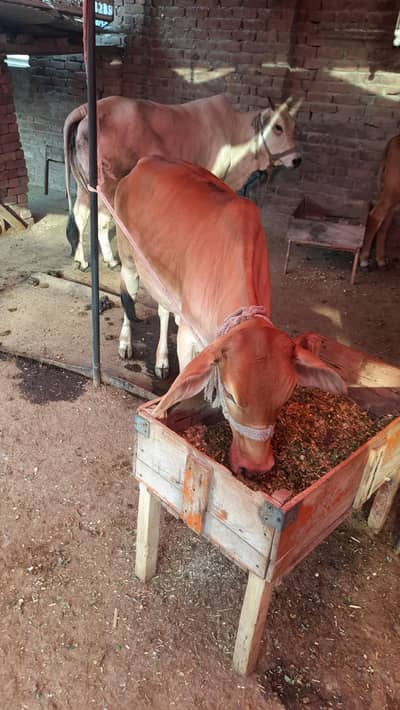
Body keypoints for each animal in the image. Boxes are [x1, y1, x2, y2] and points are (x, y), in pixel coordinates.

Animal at [63, 94, 302, 271]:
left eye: (294, 126)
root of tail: (87, 109)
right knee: (97, 218)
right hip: (107, 184)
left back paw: (92, 260)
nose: (297, 160)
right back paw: (98, 260)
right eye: (278, 127)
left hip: (85, 184)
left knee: (84, 215)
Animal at [114, 157, 345, 475]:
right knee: (127, 296)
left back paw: (161, 360)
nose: (256, 467)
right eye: (232, 395)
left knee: (163, 311)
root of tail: (144, 161)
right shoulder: (189, 336)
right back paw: (126, 343)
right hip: (128, 259)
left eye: (286, 396)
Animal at [359, 134, 400, 270]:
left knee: (385, 222)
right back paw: (364, 258)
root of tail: (394, 139)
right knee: (375, 215)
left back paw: (380, 259)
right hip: (393, 189)